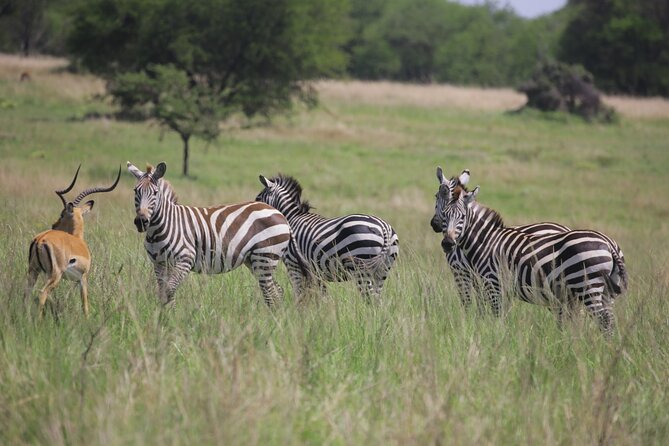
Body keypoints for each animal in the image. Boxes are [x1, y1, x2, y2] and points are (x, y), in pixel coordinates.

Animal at [26, 165, 121, 318]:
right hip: (54, 275)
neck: (78, 240)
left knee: (27, 293)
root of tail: (40, 240)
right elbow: (85, 302)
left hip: (33, 271)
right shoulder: (83, 278)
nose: (54, 225)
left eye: (61, 214)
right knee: (42, 293)